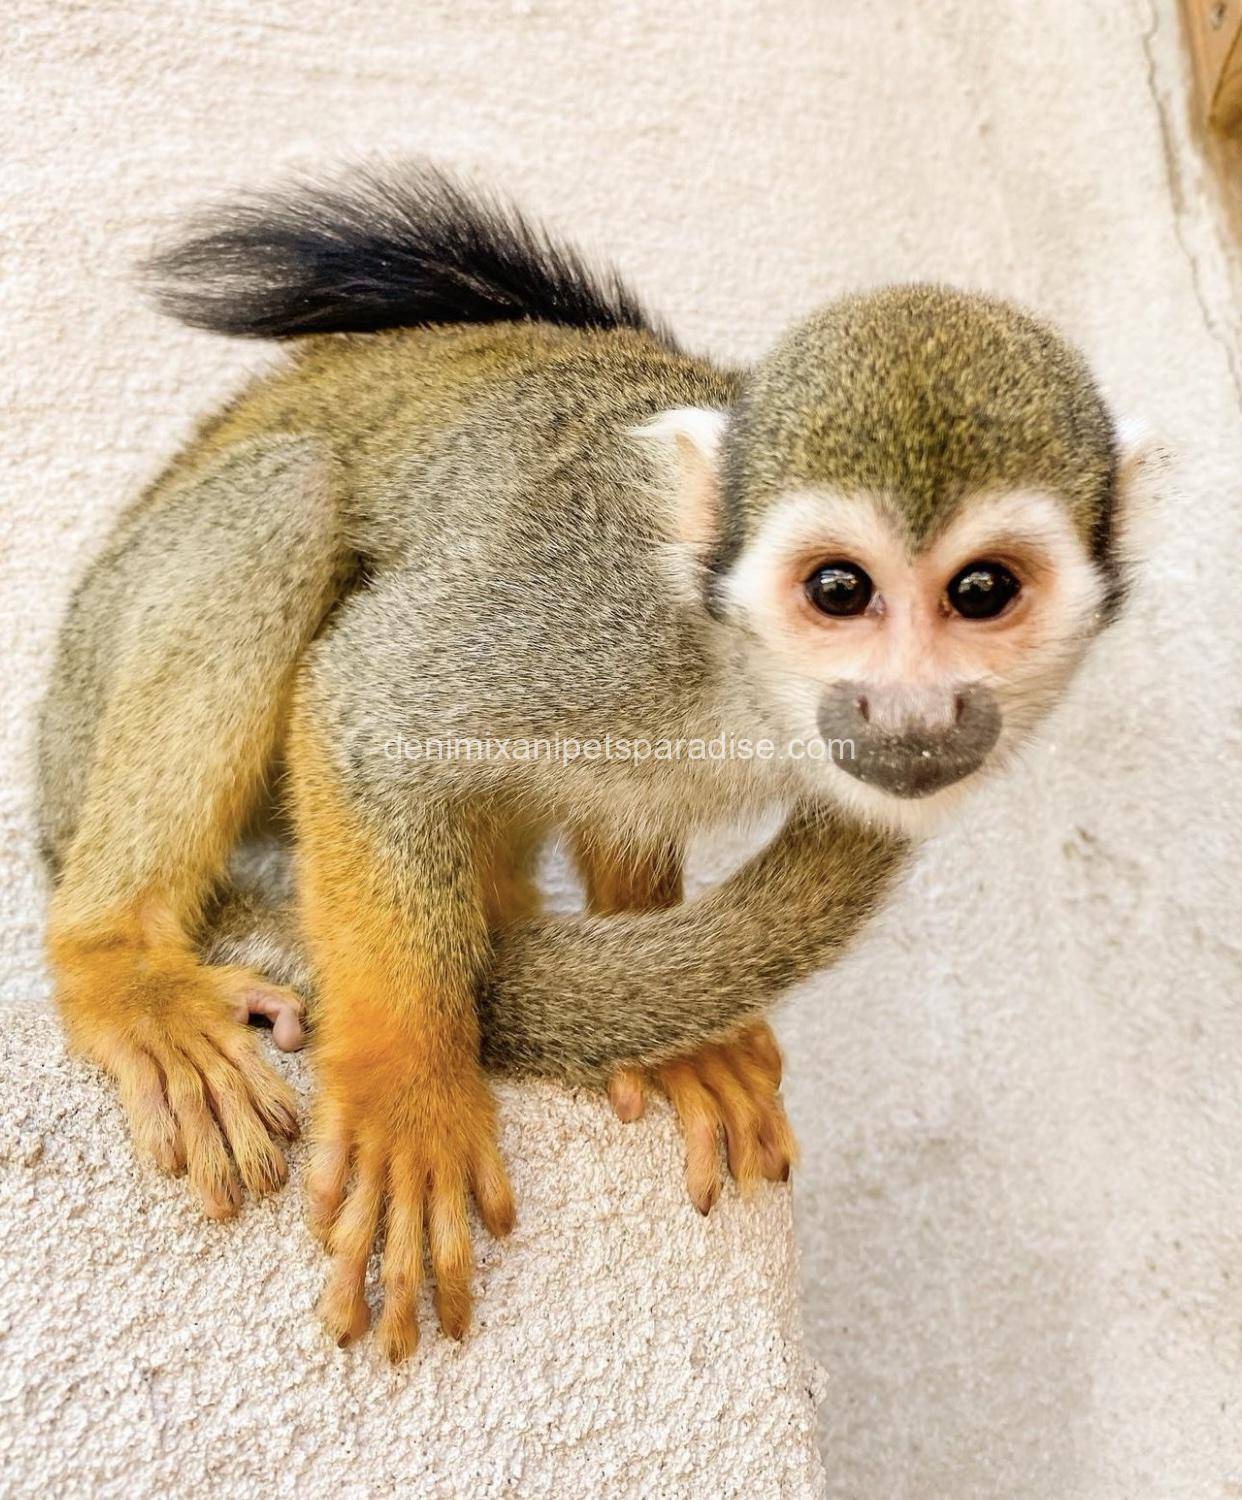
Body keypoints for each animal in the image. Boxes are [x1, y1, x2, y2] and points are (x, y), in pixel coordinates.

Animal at [36, 163, 1150, 1362]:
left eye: (983, 592)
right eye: (839, 590)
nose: (911, 706)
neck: (736, 671)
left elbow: (624, 802)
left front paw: (677, 1038)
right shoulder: (587, 612)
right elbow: (369, 708)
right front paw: (407, 1090)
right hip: (89, 695)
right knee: (289, 491)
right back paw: (119, 961)